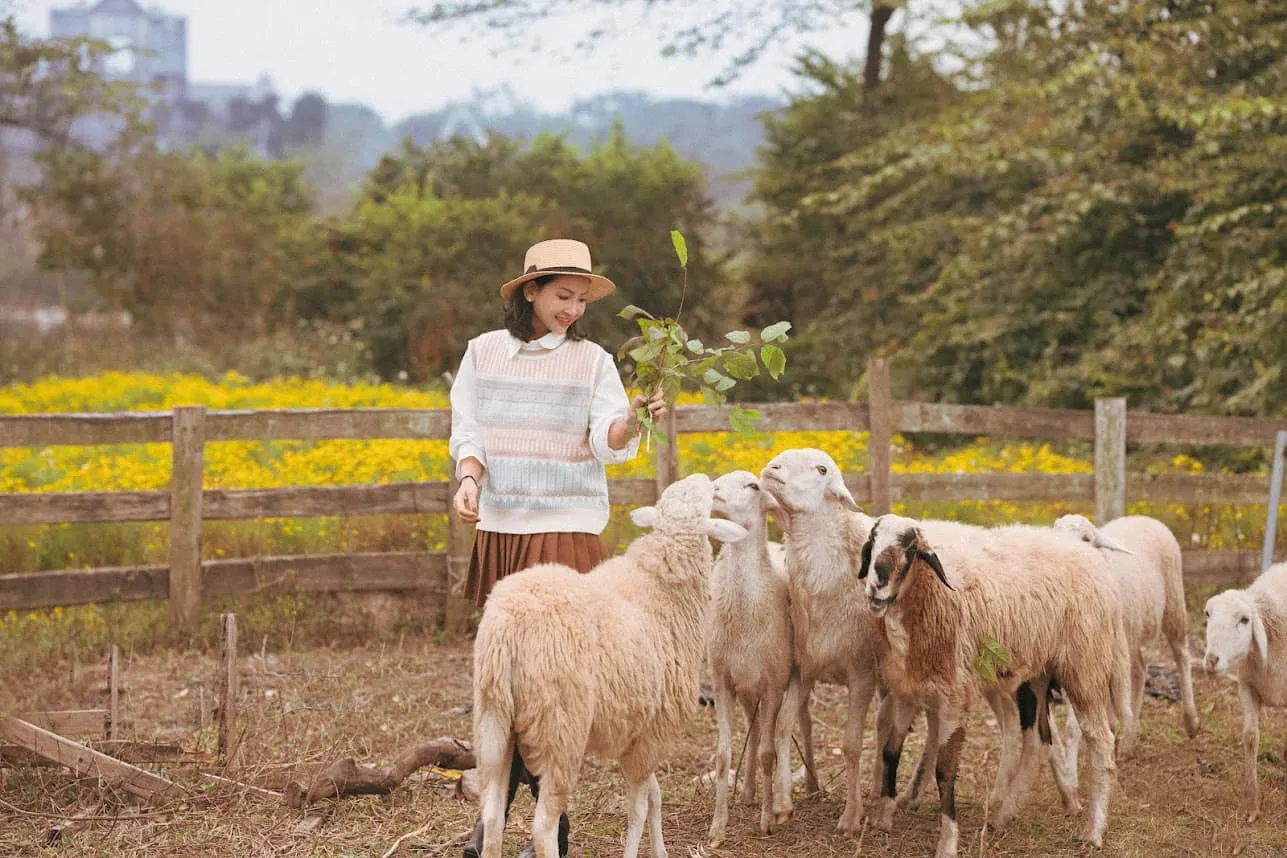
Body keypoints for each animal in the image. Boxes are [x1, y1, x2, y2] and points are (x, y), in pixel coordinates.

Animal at [468, 473, 751, 858]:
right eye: (704, 498)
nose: (706, 478)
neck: (661, 582)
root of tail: (509, 627)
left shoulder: (640, 731)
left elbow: (654, 796)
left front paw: (659, 851)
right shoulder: (655, 729)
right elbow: (640, 807)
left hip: (493, 722)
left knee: (494, 815)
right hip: (560, 729)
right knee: (544, 825)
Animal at [705, 473, 813, 848]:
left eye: (753, 486)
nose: (712, 491)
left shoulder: (774, 682)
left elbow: (769, 753)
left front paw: (767, 821)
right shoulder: (722, 680)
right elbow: (724, 755)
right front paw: (717, 828)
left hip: (792, 679)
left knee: (801, 724)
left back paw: (811, 786)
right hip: (747, 686)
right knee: (753, 736)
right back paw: (749, 791)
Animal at [859, 514, 1132, 854]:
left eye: (910, 548)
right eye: (872, 541)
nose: (877, 583)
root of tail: (1094, 559)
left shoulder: (955, 694)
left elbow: (944, 770)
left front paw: (948, 843)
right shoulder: (904, 690)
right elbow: (890, 750)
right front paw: (884, 816)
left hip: (1085, 665)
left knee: (1101, 741)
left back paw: (1093, 830)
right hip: (1035, 674)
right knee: (1037, 741)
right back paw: (1003, 814)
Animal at [1204, 560, 1287, 823]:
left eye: (1244, 620)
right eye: (1208, 615)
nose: (1211, 660)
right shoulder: (1247, 687)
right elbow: (1250, 737)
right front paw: (1253, 805)